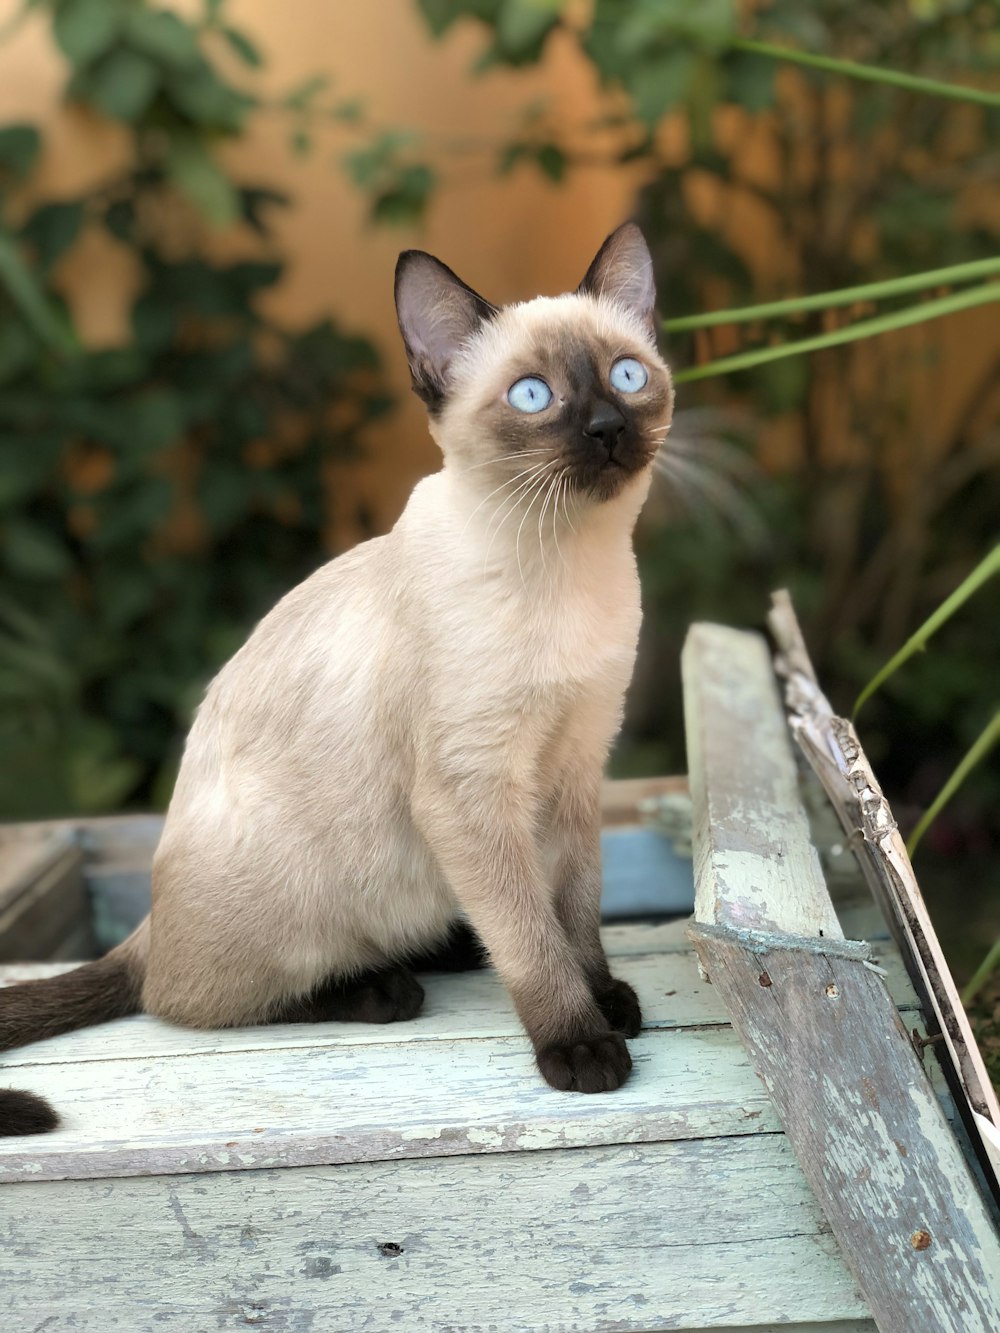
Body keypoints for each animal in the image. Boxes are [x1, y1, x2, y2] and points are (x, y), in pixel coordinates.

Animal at [1, 221, 674, 1135]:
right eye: (533, 396)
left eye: (627, 377)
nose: (606, 426)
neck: (568, 565)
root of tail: (146, 924)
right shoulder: (471, 791)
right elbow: (532, 939)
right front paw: (582, 1042)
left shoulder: (574, 767)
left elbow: (572, 912)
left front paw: (605, 998)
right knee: (186, 1000)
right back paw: (384, 986)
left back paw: (452, 948)